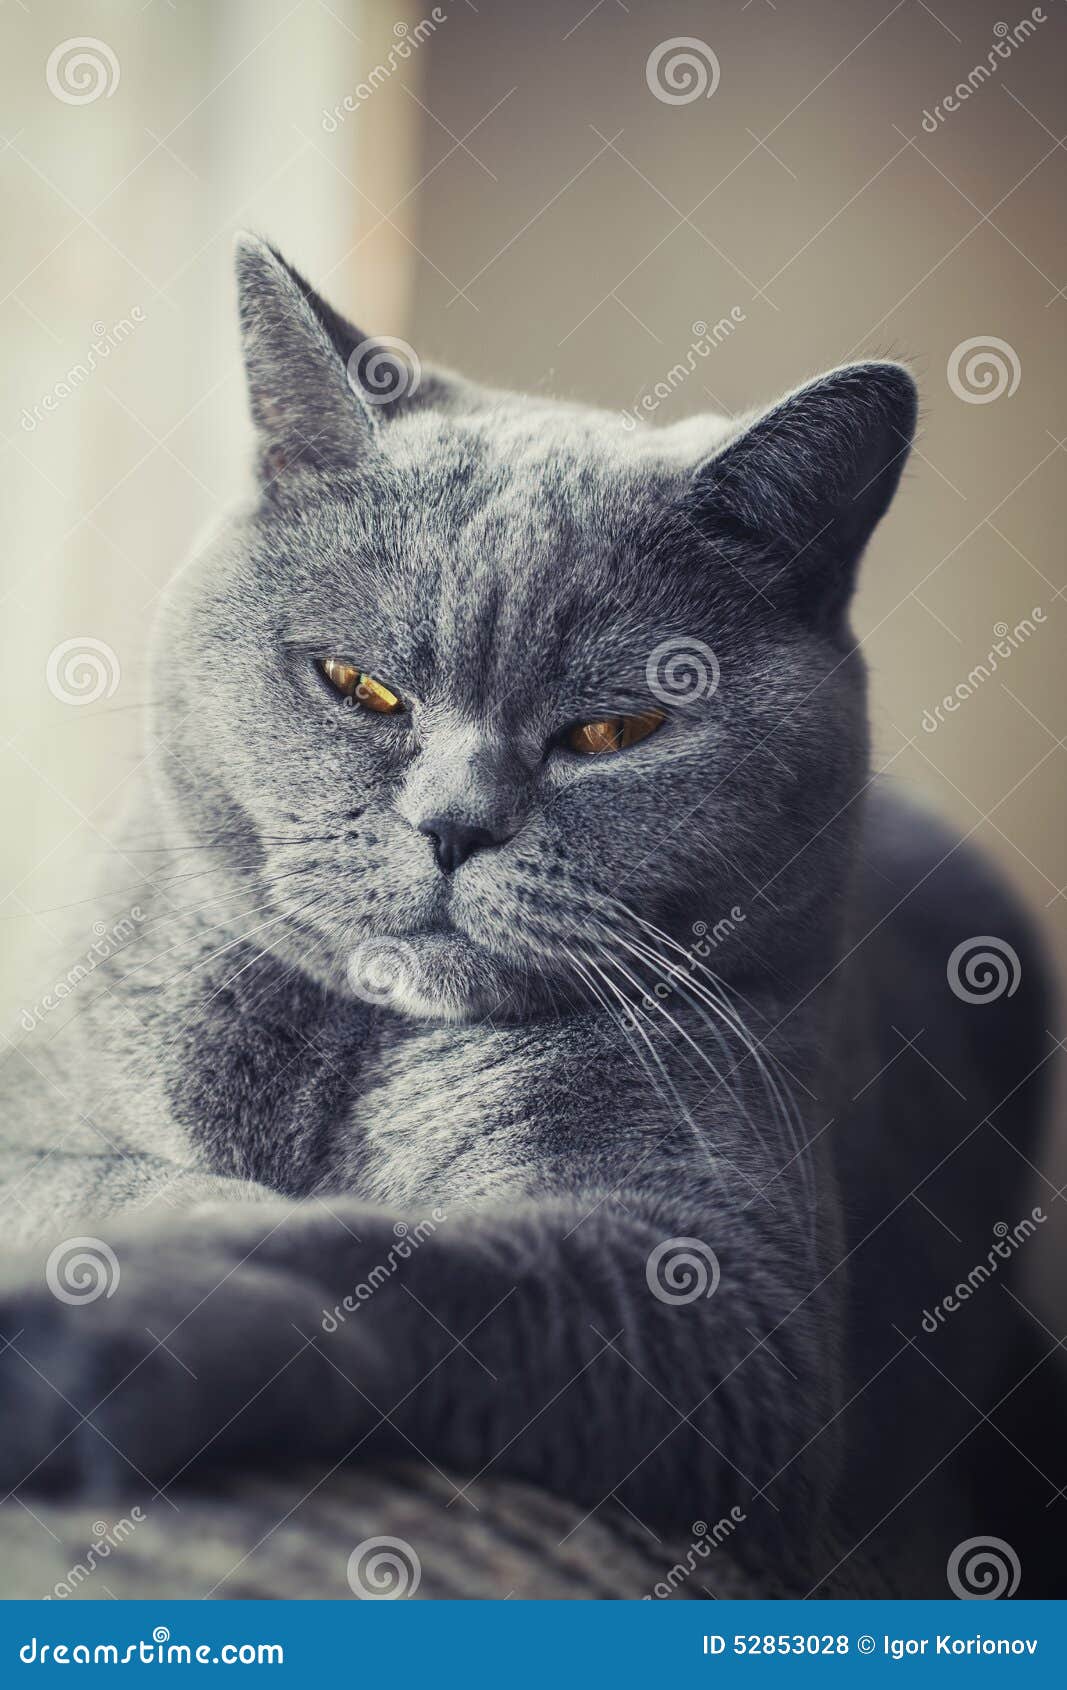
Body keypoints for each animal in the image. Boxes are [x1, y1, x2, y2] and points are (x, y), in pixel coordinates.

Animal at [0, 238, 1061, 1595]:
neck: (356, 1055)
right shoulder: (41, 1123)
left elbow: (414, 1265)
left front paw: (93, 1344)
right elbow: (148, 1179)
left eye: (613, 729)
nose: (454, 825)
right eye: (357, 685)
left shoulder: (719, 1292)